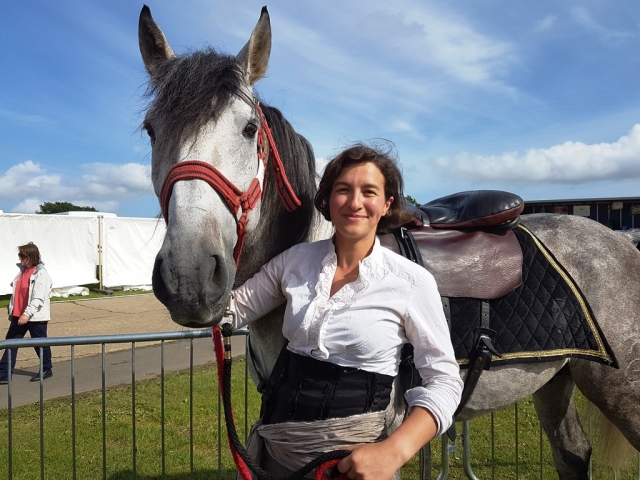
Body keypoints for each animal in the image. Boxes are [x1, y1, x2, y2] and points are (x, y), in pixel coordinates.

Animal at [138, 6, 640, 479]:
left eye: (248, 129)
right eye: (151, 129)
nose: (190, 277)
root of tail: (624, 246)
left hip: (623, 392)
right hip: (555, 379)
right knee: (573, 455)